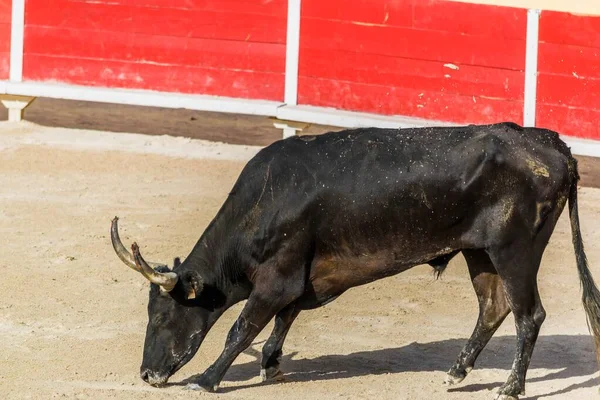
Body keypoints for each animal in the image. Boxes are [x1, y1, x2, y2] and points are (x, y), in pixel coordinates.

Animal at [110, 123, 600, 398]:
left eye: (163, 315)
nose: (147, 374)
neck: (265, 200)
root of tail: (552, 144)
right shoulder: (298, 278)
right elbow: (283, 319)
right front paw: (271, 365)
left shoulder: (277, 277)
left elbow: (242, 327)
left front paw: (209, 378)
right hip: (480, 253)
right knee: (494, 307)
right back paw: (457, 372)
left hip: (515, 251)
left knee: (528, 315)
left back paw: (511, 387)